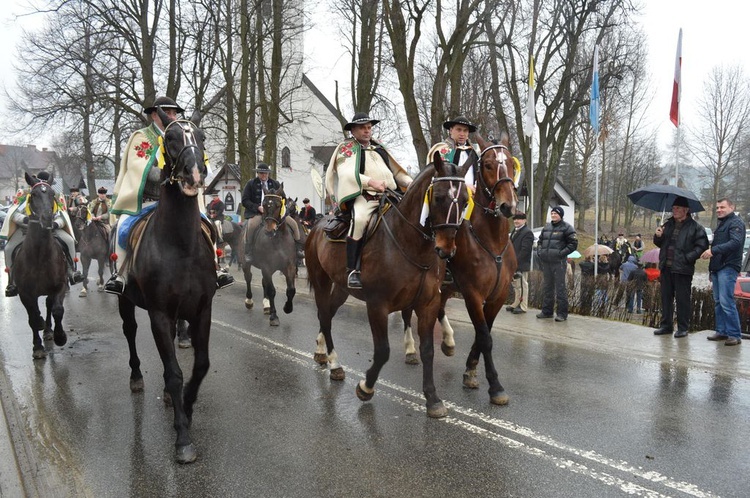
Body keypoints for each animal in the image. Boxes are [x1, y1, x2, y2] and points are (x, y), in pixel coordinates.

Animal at [12, 171, 69, 358]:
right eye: (35, 194)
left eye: (52, 194)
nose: (47, 218)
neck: (39, 257)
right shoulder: (25, 293)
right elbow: (33, 318)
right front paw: (37, 347)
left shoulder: (60, 285)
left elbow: (57, 310)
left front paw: (60, 337)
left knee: (49, 305)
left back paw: (49, 331)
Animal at [116, 109, 217, 462]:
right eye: (171, 138)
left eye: (201, 137)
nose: (196, 172)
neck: (180, 246)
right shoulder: (158, 313)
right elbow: (174, 373)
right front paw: (182, 435)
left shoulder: (202, 309)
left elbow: (199, 366)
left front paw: (187, 403)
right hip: (126, 302)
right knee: (130, 332)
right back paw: (135, 377)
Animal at [241, 183, 300, 326]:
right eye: (263, 204)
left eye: (278, 205)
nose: (269, 230)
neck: (278, 239)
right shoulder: (266, 267)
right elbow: (272, 290)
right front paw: (274, 316)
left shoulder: (289, 267)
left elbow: (291, 290)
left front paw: (287, 308)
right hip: (246, 263)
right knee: (248, 278)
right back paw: (249, 301)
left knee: (264, 284)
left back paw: (266, 305)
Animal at [306, 155, 470, 416]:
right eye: (438, 197)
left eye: (465, 200)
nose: (446, 250)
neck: (410, 243)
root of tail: (319, 224)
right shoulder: (377, 305)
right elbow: (383, 351)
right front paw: (366, 386)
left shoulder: (428, 304)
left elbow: (428, 350)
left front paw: (432, 398)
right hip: (322, 281)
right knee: (325, 317)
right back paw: (335, 364)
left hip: (341, 288)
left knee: (327, 315)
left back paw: (322, 353)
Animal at [402, 134, 520, 406]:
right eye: (487, 164)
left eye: (511, 163)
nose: (508, 206)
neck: (491, 241)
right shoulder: (472, 294)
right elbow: (485, 336)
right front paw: (495, 386)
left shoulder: (497, 296)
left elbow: (483, 333)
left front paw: (471, 371)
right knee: (406, 313)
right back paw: (411, 349)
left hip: (444, 287)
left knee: (439, 309)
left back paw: (447, 340)